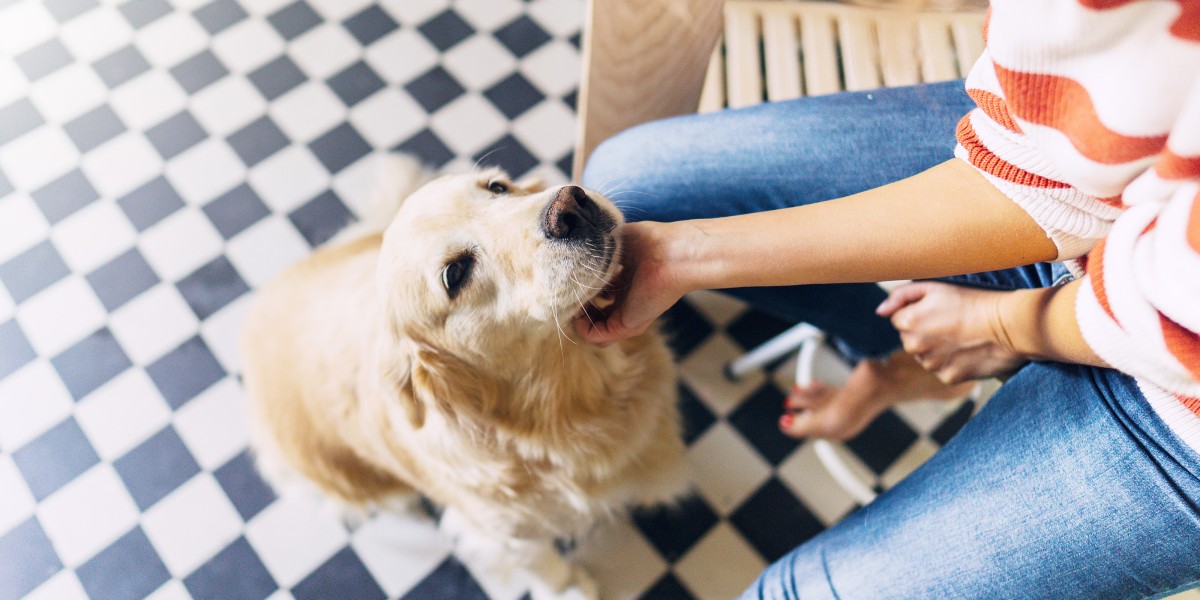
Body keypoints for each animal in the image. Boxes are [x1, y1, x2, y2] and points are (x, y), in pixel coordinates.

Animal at [240, 157, 691, 597]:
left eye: (497, 187)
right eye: (455, 274)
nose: (570, 207)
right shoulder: (503, 533)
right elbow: (545, 566)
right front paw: (570, 589)